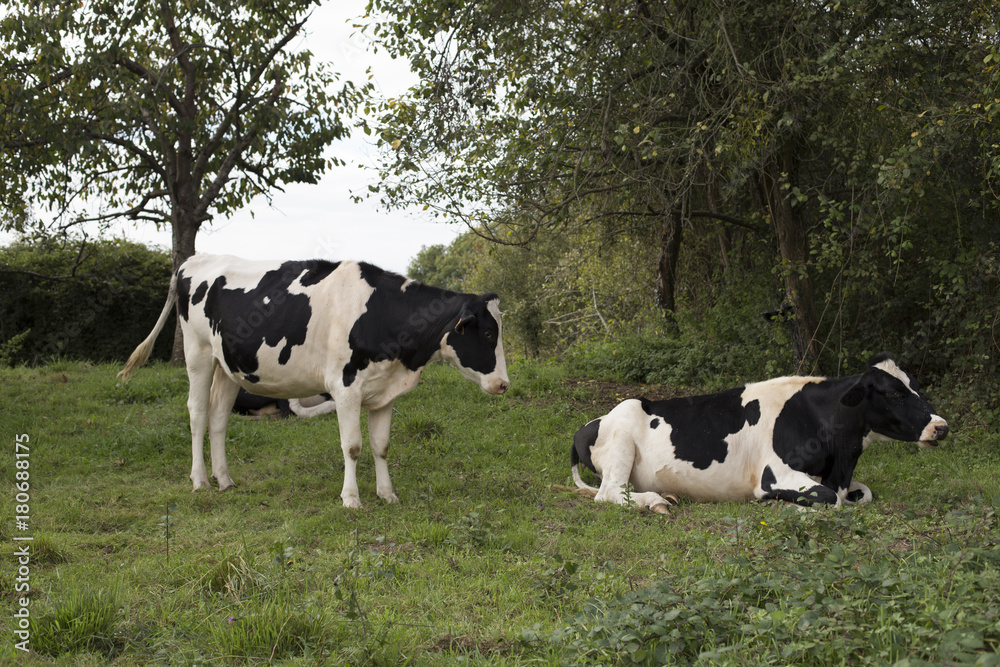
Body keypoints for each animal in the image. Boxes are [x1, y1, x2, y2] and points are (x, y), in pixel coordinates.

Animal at [117, 254, 508, 506]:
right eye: (489, 334)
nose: (503, 384)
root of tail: (192, 260)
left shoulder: (384, 391)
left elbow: (381, 446)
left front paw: (387, 494)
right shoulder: (345, 387)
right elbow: (353, 446)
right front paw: (351, 498)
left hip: (230, 366)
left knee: (218, 419)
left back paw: (224, 479)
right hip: (197, 353)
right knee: (197, 414)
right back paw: (199, 481)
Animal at [572, 354, 944, 512]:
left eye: (915, 385)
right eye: (894, 393)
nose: (941, 426)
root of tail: (590, 423)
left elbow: (861, 493)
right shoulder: (774, 474)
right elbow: (828, 498)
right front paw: (791, 505)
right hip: (621, 443)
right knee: (609, 493)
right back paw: (656, 502)